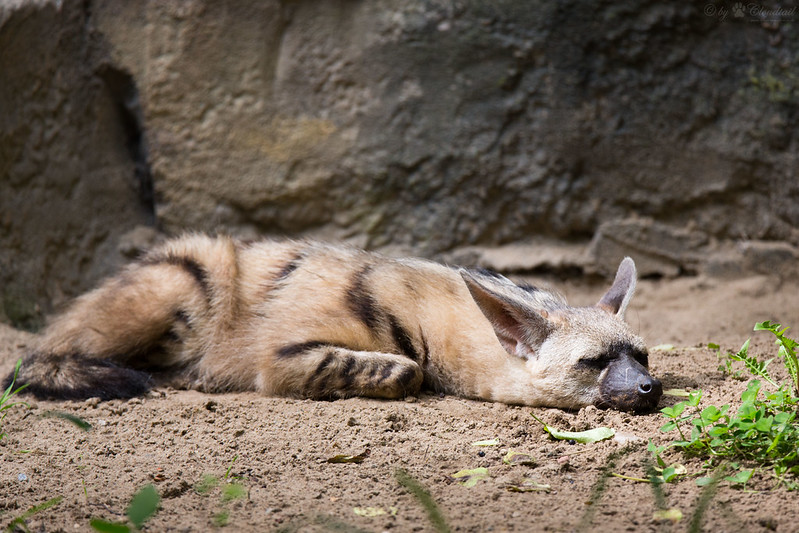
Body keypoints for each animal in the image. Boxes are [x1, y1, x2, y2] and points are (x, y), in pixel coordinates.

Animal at [5, 234, 661, 411]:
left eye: (643, 355)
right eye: (593, 363)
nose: (650, 389)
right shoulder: (280, 356)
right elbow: (405, 369)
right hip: (184, 280)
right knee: (40, 357)